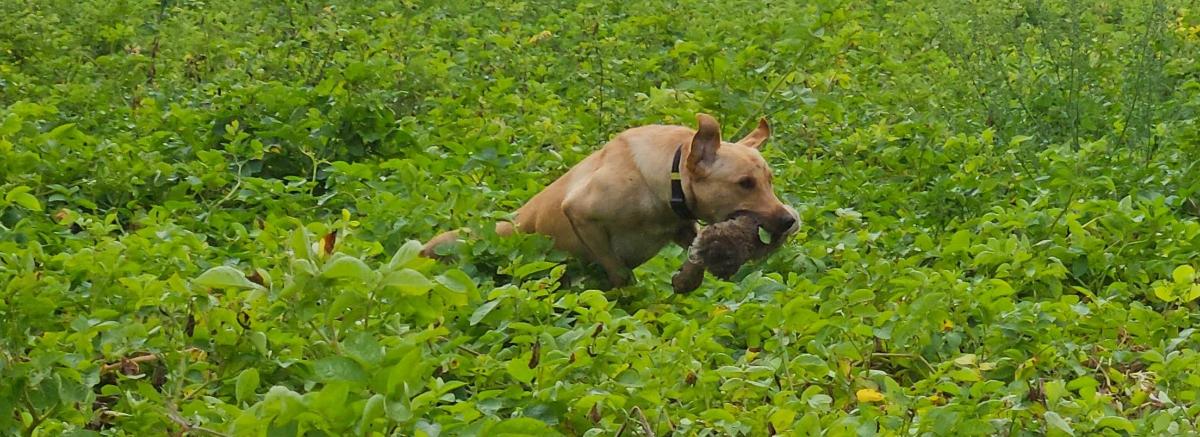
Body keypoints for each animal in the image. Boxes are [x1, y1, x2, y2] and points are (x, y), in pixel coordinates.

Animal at [422, 114, 796, 288]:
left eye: (769, 181)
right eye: (745, 184)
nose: (789, 220)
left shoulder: (683, 226)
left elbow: (695, 254)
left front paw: (686, 280)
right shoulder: (579, 213)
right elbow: (619, 271)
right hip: (472, 239)